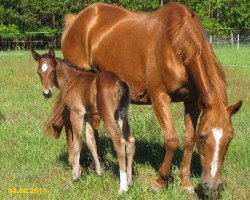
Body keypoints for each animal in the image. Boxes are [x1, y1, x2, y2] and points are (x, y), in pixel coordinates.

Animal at [33, 47, 136, 193]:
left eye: (52, 70)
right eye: (39, 72)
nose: (47, 93)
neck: (72, 79)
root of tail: (118, 82)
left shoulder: (77, 114)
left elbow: (77, 143)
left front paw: (75, 175)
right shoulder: (88, 115)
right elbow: (90, 141)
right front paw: (99, 171)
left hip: (108, 116)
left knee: (120, 142)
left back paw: (123, 187)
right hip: (122, 115)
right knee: (130, 140)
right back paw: (130, 180)